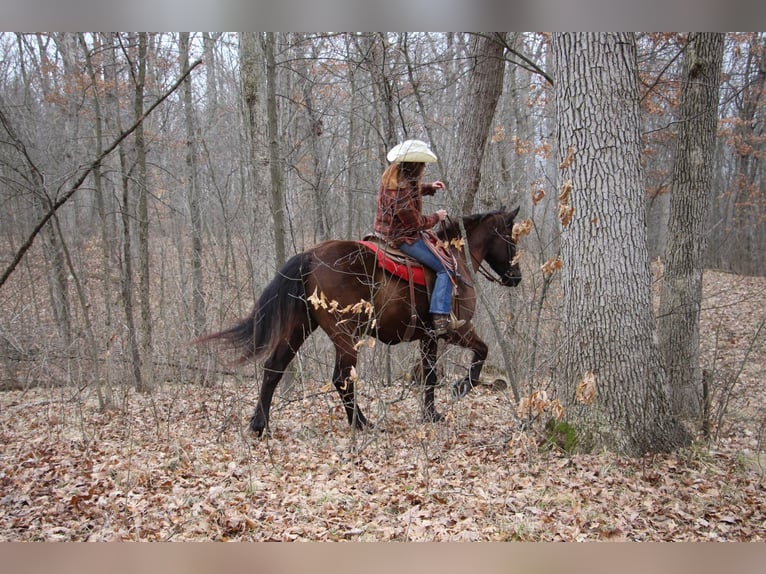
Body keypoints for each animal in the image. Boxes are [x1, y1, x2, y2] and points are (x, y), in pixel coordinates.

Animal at [200, 209, 520, 438]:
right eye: (511, 237)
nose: (515, 277)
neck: (454, 259)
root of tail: (310, 256)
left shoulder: (429, 337)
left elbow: (429, 375)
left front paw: (431, 414)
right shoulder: (456, 329)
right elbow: (482, 352)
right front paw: (461, 387)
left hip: (300, 327)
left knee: (273, 368)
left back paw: (259, 426)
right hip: (345, 334)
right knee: (341, 378)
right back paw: (361, 423)